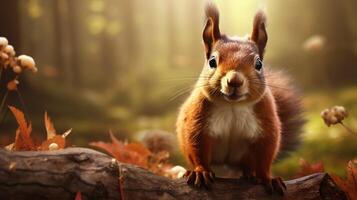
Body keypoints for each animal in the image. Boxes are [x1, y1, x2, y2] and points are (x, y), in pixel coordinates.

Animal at [175, 1, 304, 195]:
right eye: (212, 61)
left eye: (258, 64)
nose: (234, 80)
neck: (233, 106)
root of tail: (226, 165)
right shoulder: (197, 120)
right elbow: (197, 147)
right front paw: (201, 172)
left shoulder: (266, 123)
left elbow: (265, 155)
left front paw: (268, 178)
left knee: (248, 166)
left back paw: (250, 175)